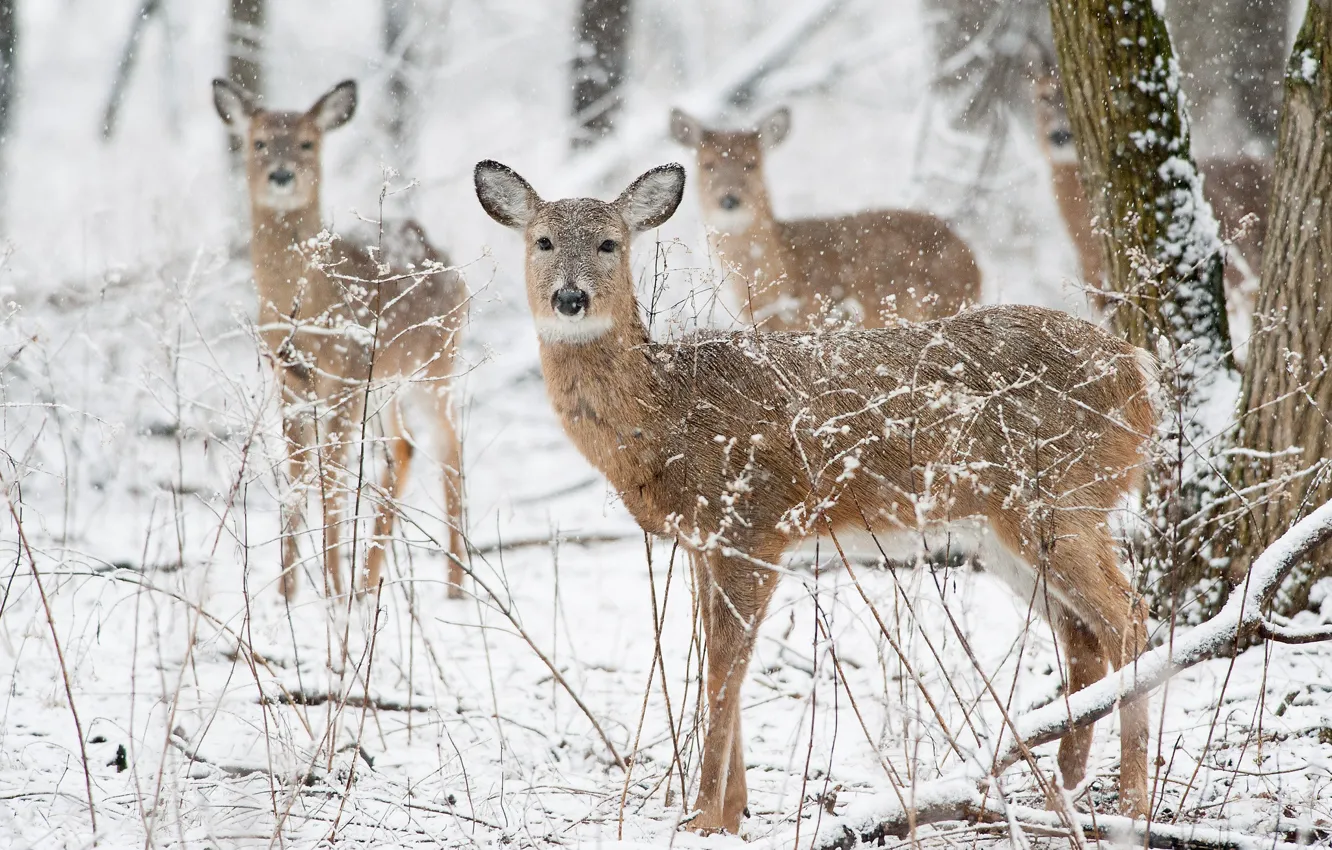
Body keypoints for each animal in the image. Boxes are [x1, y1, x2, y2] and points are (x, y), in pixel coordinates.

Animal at [214, 79, 468, 599]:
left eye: (308, 143)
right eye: (259, 142)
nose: (282, 175)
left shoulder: (347, 376)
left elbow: (329, 478)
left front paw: (331, 589)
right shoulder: (288, 381)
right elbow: (297, 478)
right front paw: (287, 594)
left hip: (436, 365)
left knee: (449, 449)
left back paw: (453, 589)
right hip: (387, 381)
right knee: (404, 449)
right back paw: (369, 581)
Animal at [474, 159, 1155, 834]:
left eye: (610, 243)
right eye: (543, 241)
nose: (570, 298)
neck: (665, 412)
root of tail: (1142, 373)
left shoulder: (755, 523)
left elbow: (724, 672)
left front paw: (703, 819)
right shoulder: (705, 542)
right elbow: (717, 661)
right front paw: (733, 813)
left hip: (1060, 494)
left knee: (1129, 616)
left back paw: (1131, 807)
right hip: (999, 529)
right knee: (1083, 637)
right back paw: (1061, 797)